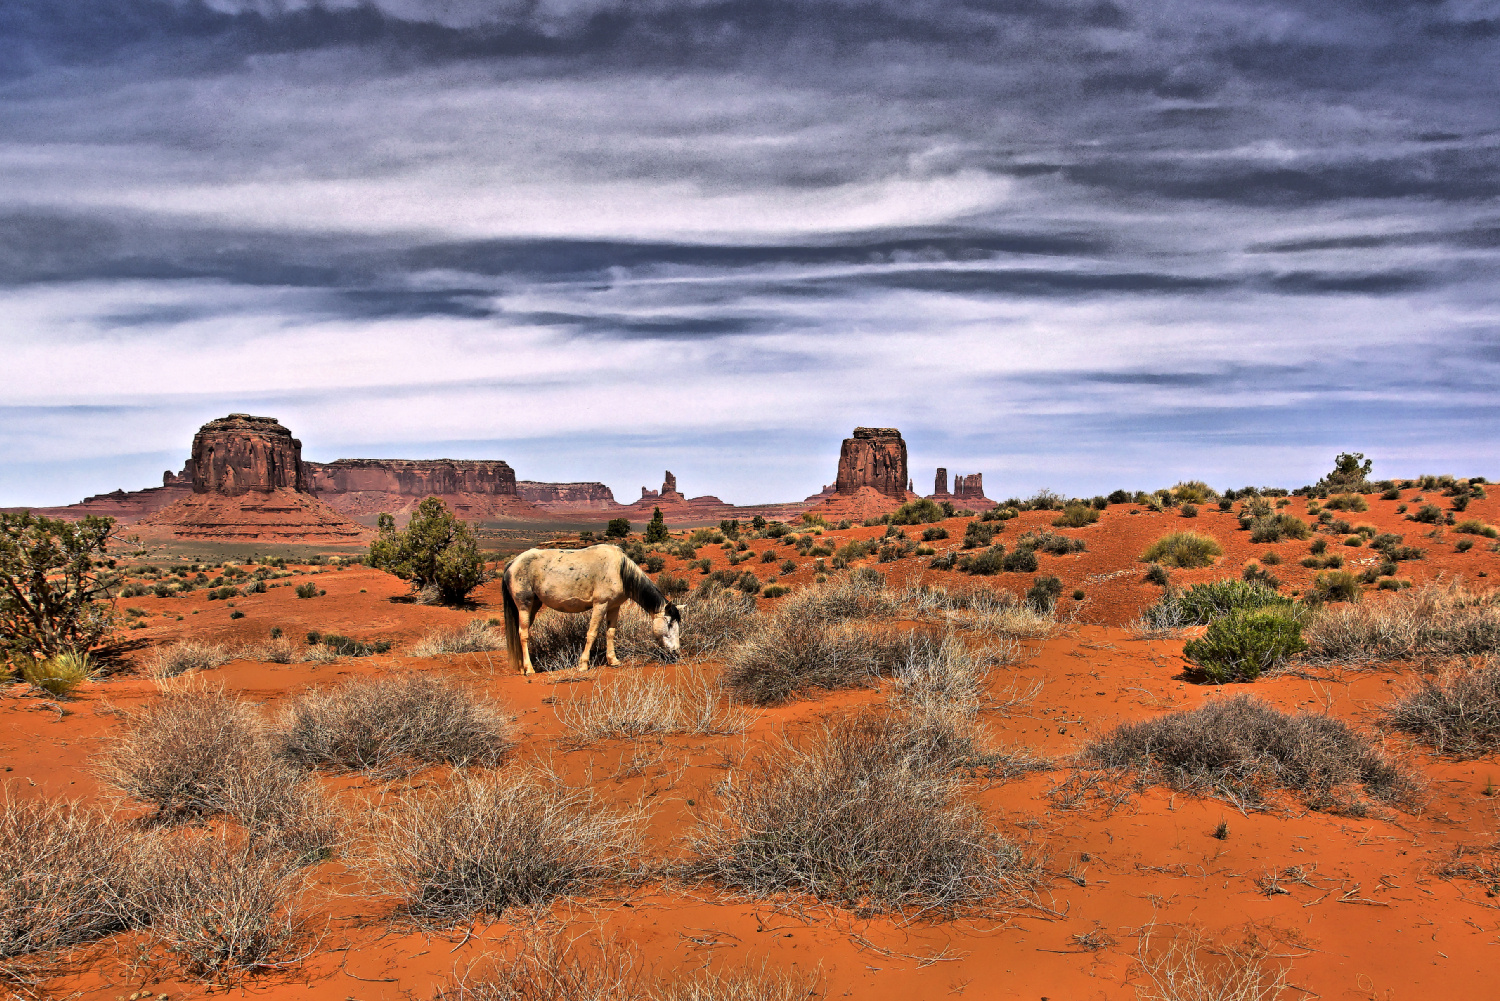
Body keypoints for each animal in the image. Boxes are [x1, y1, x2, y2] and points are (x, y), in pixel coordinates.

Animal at [501, 543, 684, 678]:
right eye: (669, 624)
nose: (676, 650)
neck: (619, 570)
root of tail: (512, 563)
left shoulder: (613, 606)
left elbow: (610, 632)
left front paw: (613, 660)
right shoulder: (600, 605)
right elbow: (592, 633)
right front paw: (583, 664)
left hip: (534, 605)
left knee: (520, 632)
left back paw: (521, 667)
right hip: (524, 604)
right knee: (523, 634)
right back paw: (529, 669)